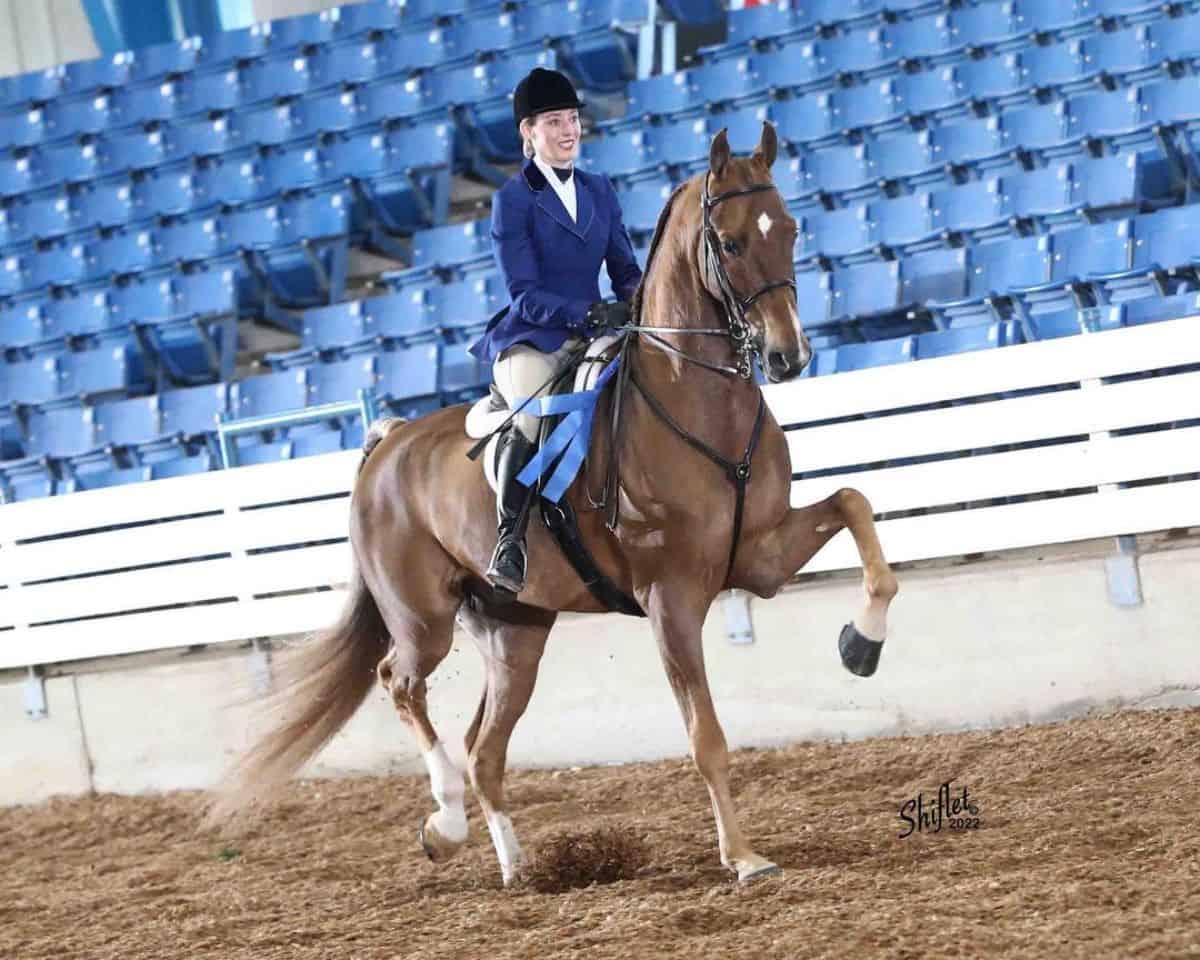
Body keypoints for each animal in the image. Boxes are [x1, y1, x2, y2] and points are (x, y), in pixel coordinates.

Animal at [211, 123, 897, 888]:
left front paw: (861, 643)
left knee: (484, 746)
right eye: (730, 241)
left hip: (515, 633)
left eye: (791, 228)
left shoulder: (760, 557)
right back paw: (444, 825)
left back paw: (518, 868)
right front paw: (744, 857)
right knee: (401, 684)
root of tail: (387, 444)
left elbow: (856, 505)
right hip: (423, 619)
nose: (787, 357)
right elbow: (706, 735)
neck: (701, 401)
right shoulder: (671, 599)